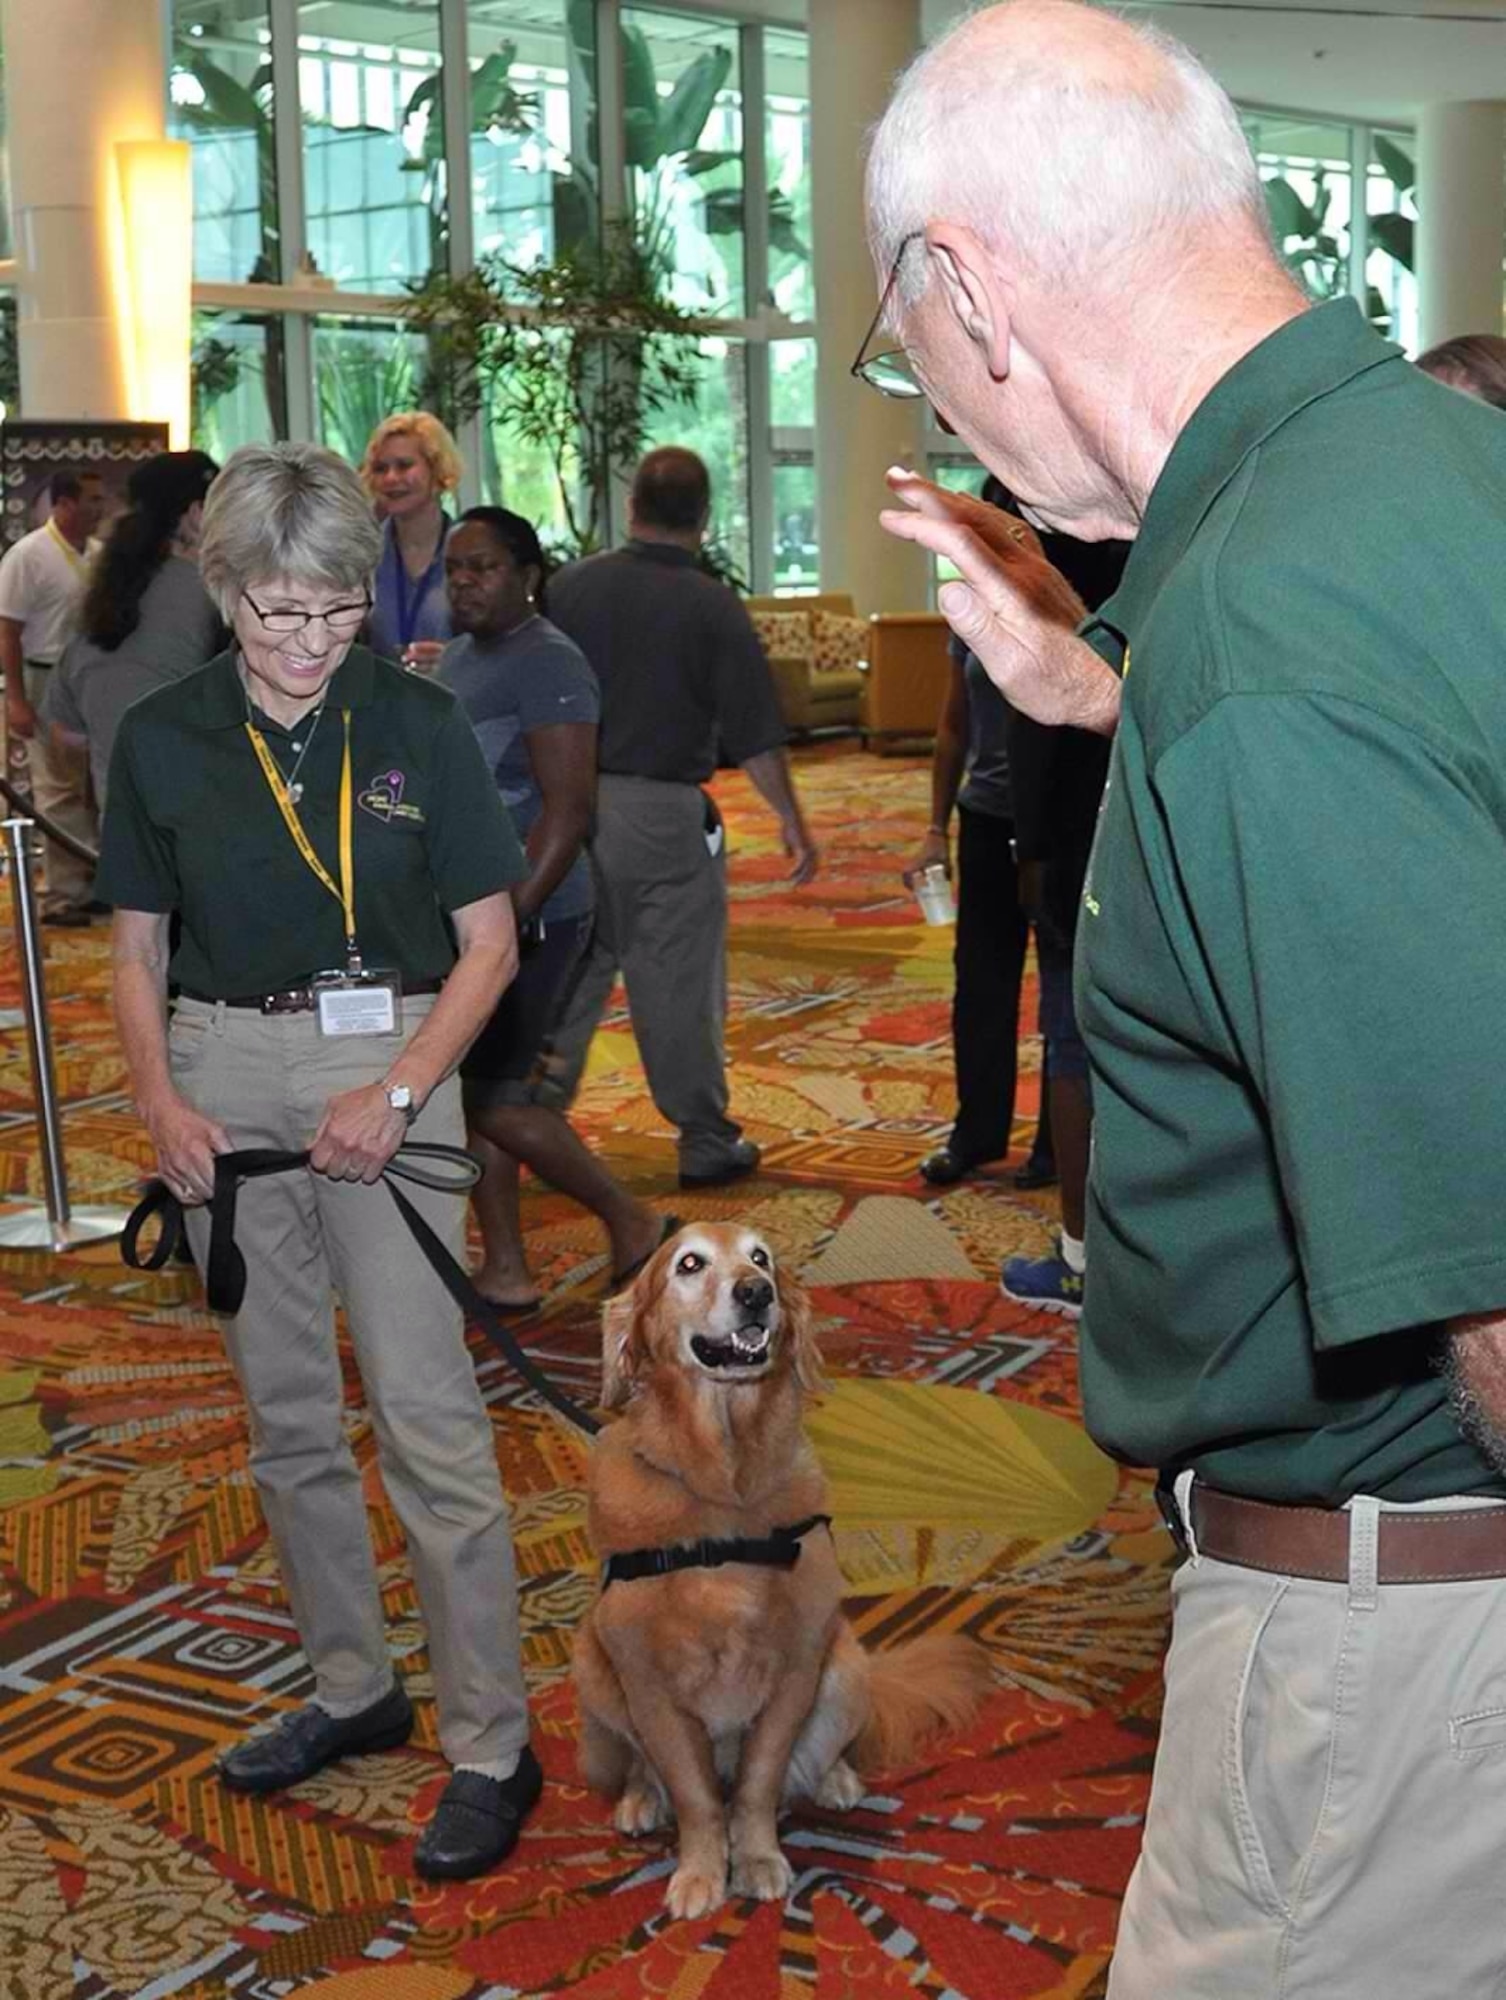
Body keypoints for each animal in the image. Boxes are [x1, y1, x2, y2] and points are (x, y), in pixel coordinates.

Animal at [568, 1216, 992, 1920]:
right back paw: (639, 1796)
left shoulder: (796, 1668)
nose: (755, 1292)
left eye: (761, 1257)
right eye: (688, 1263)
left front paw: (757, 1857)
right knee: (639, 1762)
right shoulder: (652, 1688)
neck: (722, 1484)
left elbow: (758, 1784)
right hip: (594, 1664)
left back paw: (837, 1777)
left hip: (845, 1667)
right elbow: (697, 1796)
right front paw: (702, 1869)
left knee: (820, 1749)